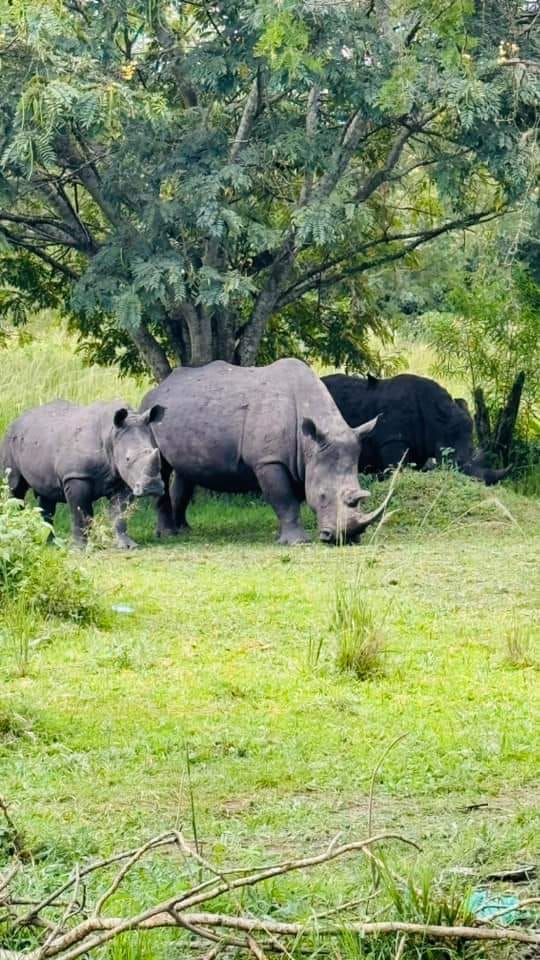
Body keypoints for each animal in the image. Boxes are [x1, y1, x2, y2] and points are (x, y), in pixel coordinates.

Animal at [0, 400, 165, 547]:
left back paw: (50, 543)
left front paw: (127, 545)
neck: (111, 435)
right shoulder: (76, 475)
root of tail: (16, 420)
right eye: (128, 459)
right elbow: (81, 513)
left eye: (155, 452)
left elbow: (119, 513)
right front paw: (80, 548)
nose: (153, 487)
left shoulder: (121, 478)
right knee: (15, 488)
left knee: (47, 497)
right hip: (10, 439)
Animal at [141, 358, 393, 545]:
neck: (310, 445)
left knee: (185, 473)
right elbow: (284, 499)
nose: (346, 537)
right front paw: (297, 542)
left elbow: (292, 499)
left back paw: (184, 531)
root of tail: (156, 390)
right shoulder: (269, 461)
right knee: (161, 468)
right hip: (148, 415)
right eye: (323, 496)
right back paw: (168, 535)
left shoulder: (302, 461)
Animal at [323, 372, 509, 485]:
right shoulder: (392, 439)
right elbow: (396, 468)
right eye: (454, 462)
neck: (435, 417)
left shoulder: (420, 446)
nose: (479, 483)